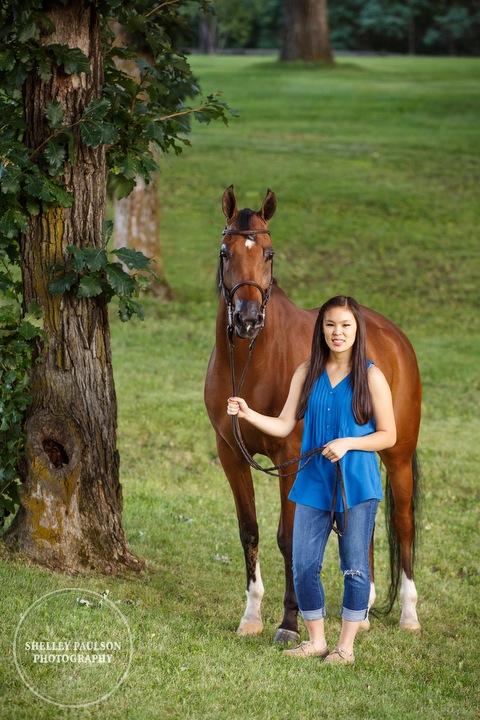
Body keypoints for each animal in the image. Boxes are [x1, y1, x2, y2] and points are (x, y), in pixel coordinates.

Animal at [204, 186, 422, 640]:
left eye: (269, 253)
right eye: (225, 252)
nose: (247, 319)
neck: (252, 363)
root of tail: (394, 336)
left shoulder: (289, 455)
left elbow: (289, 537)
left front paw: (289, 622)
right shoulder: (230, 453)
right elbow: (249, 531)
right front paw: (251, 615)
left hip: (398, 454)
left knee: (403, 521)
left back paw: (409, 613)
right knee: (363, 522)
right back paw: (364, 608)